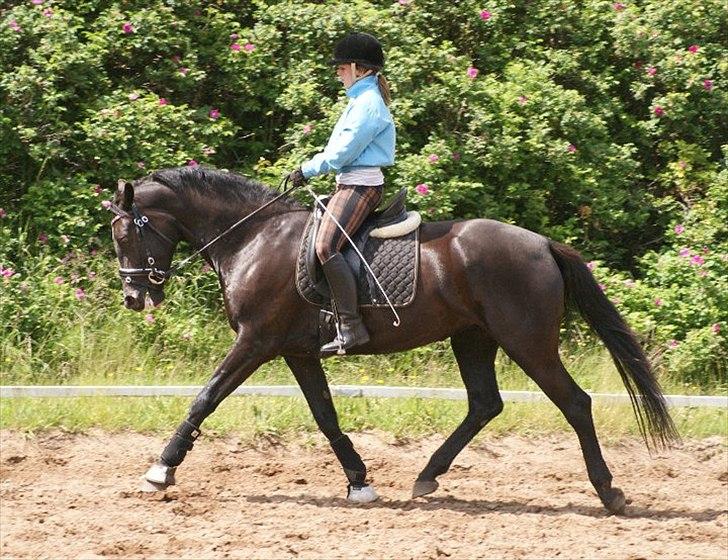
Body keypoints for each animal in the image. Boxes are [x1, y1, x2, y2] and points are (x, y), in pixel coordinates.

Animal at [108, 167, 676, 516]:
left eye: (124, 233)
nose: (134, 296)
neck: (251, 239)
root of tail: (542, 244)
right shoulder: (296, 352)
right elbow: (325, 415)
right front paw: (359, 480)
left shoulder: (256, 341)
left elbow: (205, 397)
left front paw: (161, 469)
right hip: (473, 339)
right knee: (484, 404)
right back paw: (427, 476)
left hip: (528, 342)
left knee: (574, 403)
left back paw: (608, 491)